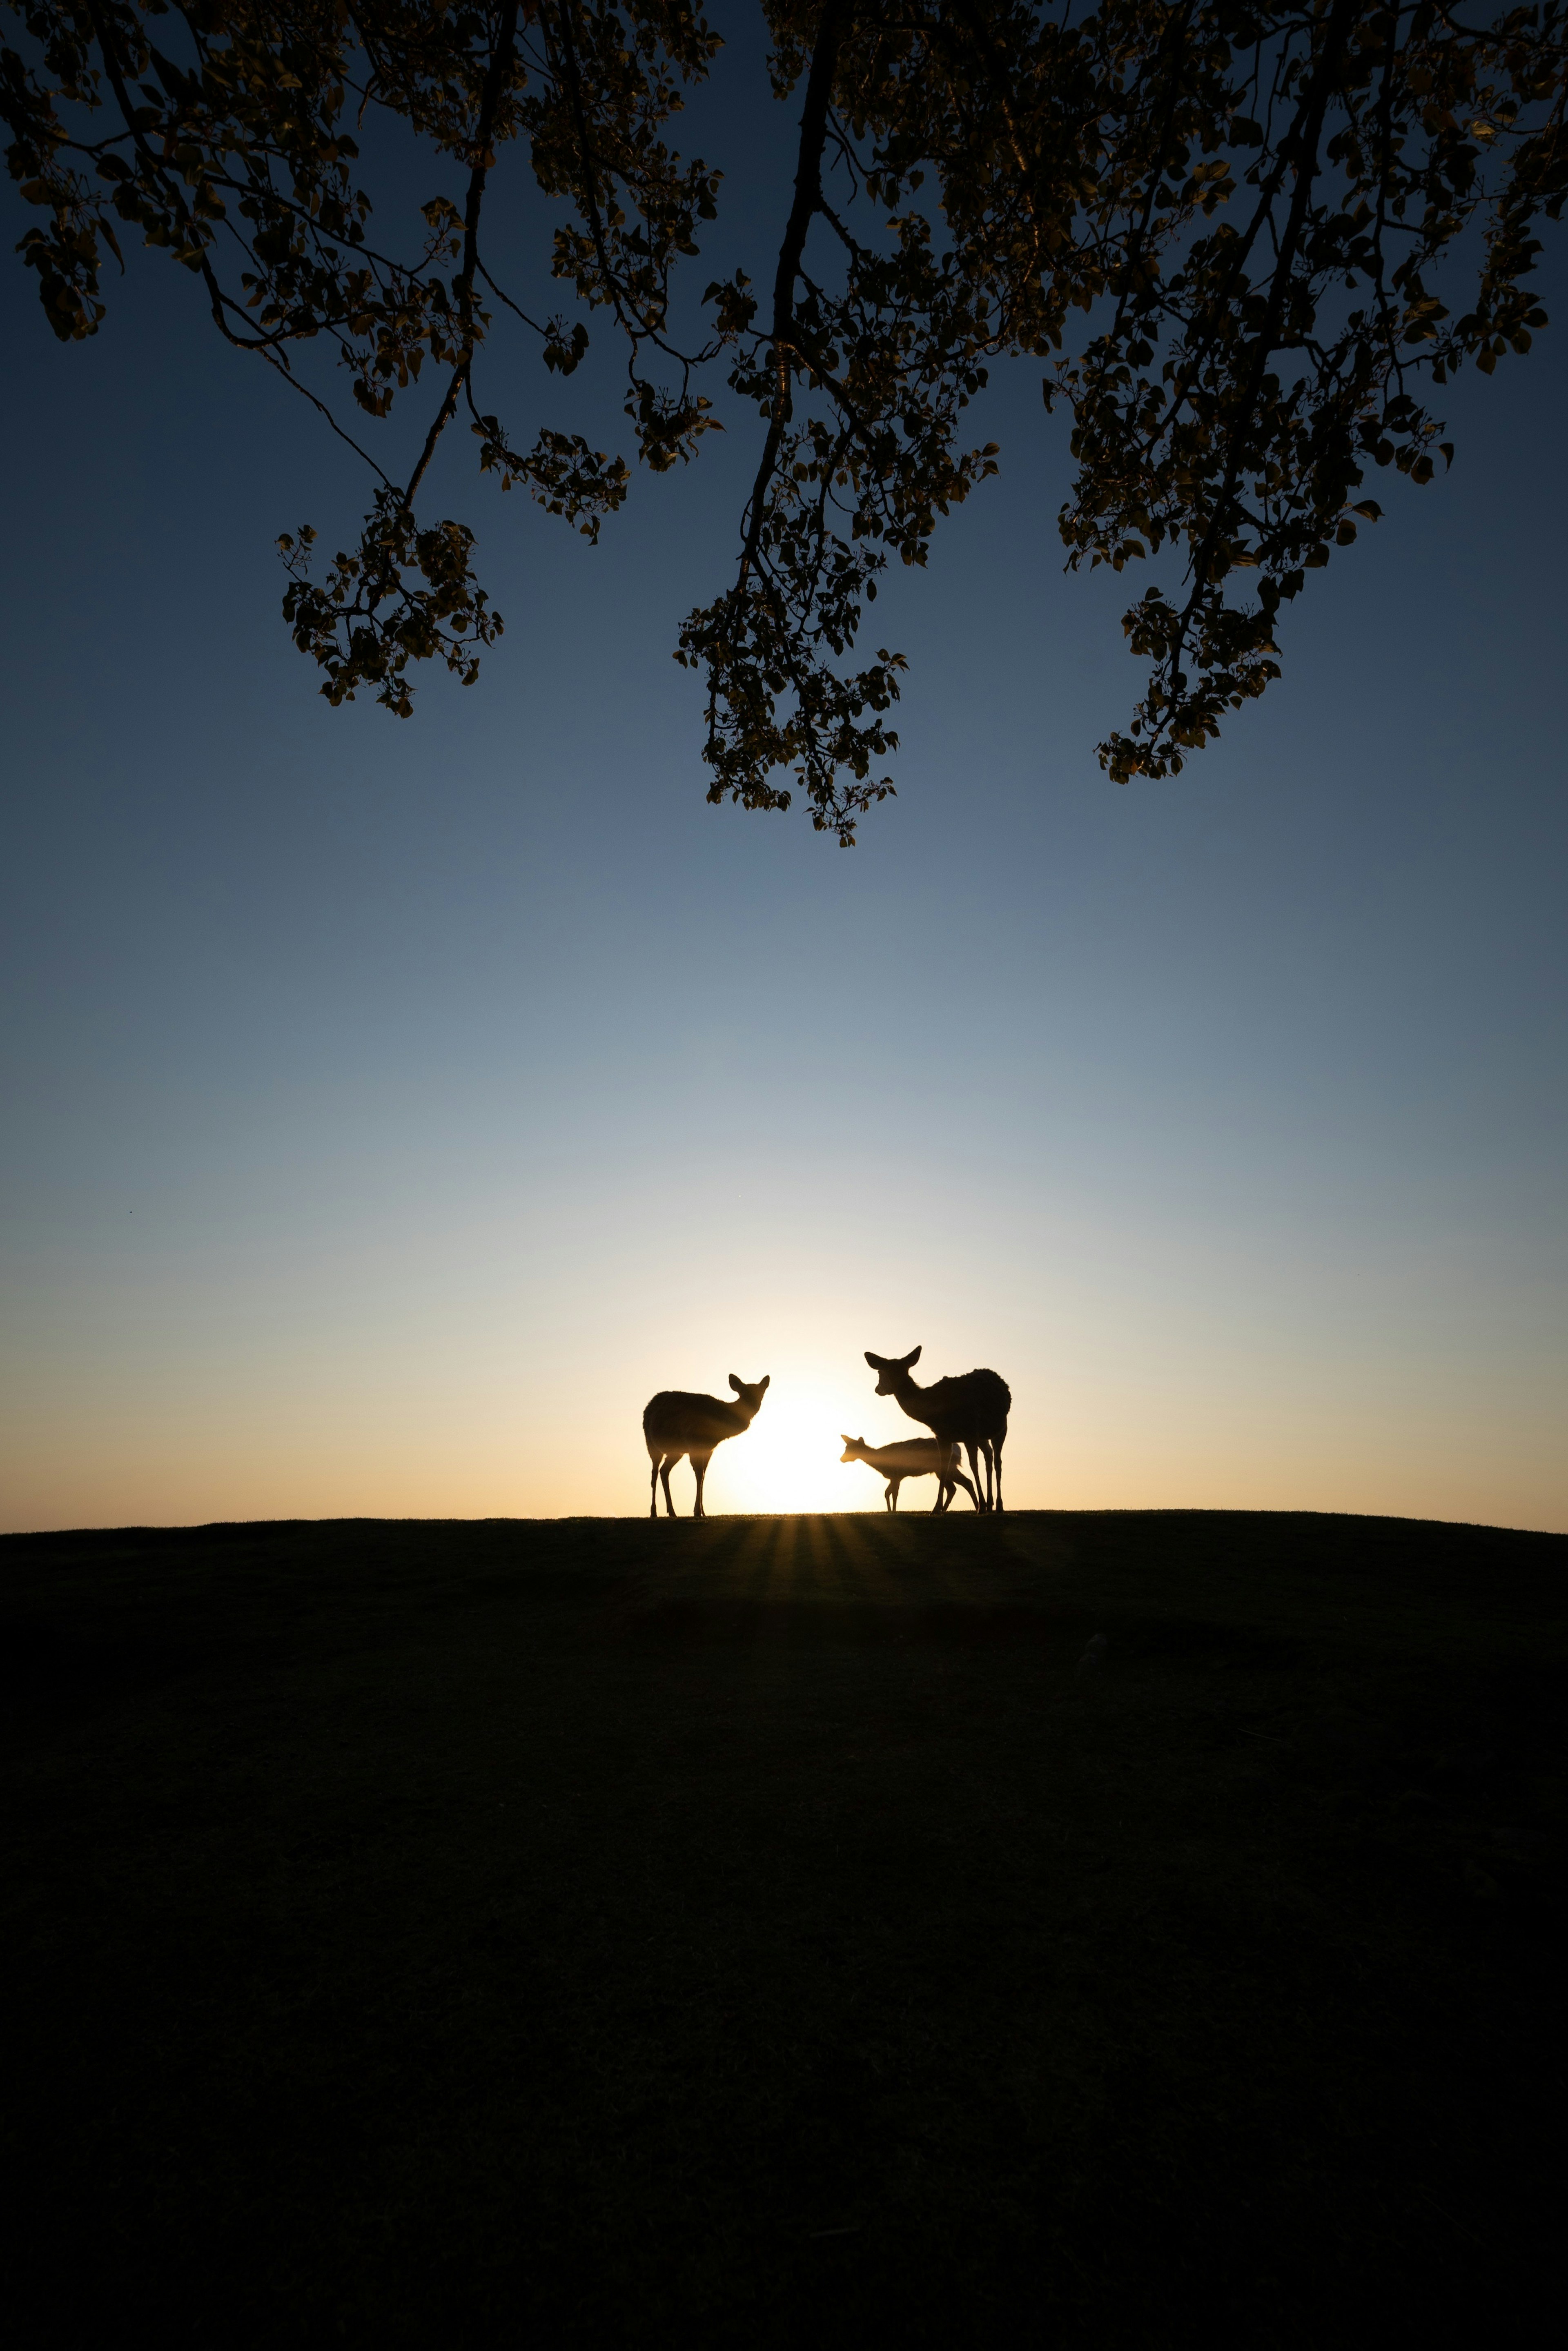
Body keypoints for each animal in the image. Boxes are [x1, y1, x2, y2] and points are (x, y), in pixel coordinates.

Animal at [639, 1373, 771, 1523]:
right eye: (743, 1393)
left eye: (760, 1392)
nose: (753, 1405)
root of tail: (649, 1405)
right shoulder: (693, 1442)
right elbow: (699, 1474)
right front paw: (697, 1511)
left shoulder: (709, 1449)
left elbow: (703, 1476)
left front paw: (703, 1511)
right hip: (651, 1443)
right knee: (654, 1473)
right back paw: (654, 1512)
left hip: (676, 1451)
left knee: (664, 1471)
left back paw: (672, 1512)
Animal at [842, 1429, 973, 1505]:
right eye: (846, 1448)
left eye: (851, 1449)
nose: (841, 1459)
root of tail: (958, 1450)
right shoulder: (896, 1477)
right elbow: (887, 1493)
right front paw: (890, 1511)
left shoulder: (896, 1474)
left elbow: (894, 1494)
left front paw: (894, 1511)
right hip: (941, 1470)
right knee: (953, 1488)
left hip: (946, 1468)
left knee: (966, 1482)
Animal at [865, 1354, 1011, 1514]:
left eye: (880, 1373)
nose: (877, 1389)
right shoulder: (942, 1437)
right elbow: (943, 1467)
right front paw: (935, 1509)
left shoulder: (970, 1432)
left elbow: (974, 1466)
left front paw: (981, 1507)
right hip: (982, 1437)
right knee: (989, 1455)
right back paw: (990, 1504)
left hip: (1002, 1427)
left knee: (998, 1461)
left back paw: (998, 1506)